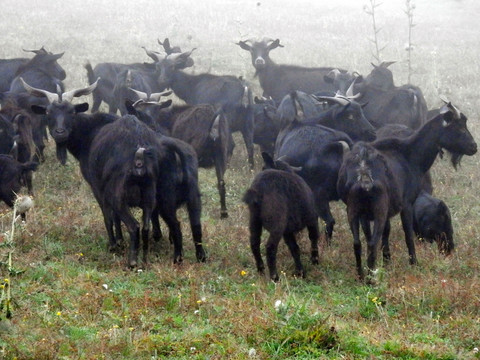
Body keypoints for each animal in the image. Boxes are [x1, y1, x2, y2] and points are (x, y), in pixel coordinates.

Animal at [244, 152, 318, 282]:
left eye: (263, 167)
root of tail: (259, 188)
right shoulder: (312, 220)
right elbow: (313, 238)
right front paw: (314, 260)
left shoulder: (287, 231)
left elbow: (294, 248)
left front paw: (300, 272)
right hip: (277, 223)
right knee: (270, 247)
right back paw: (274, 277)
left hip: (254, 220)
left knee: (254, 243)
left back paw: (261, 269)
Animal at [338, 100, 476, 280]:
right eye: (459, 127)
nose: (474, 147)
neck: (411, 155)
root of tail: (363, 169)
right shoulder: (406, 203)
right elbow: (408, 234)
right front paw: (414, 263)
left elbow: (385, 234)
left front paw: (387, 262)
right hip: (378, 208)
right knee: (372, 242)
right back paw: (371, 279)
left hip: (353, 209)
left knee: (358, 242)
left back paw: (362, 275)